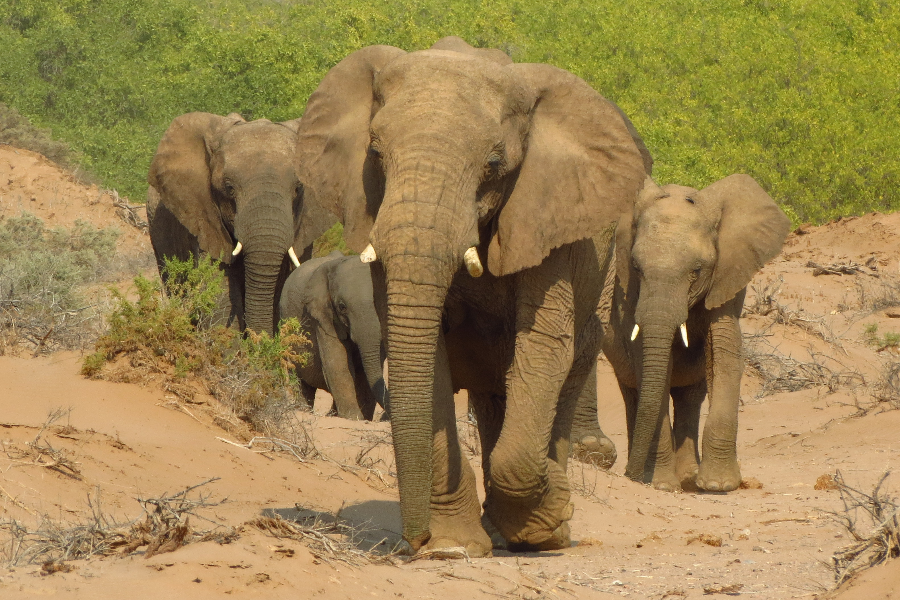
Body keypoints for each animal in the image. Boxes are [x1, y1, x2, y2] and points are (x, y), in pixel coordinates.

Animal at [280, 251, 388, 420]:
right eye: (342, 307)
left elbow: (363, 371)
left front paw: (360, 418)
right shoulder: (321, 316)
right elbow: (338, 362)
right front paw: (353, 418)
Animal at [298, 38, 652, 556]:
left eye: (495, 164)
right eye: (376, 153)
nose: (416, 540)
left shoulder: (546, 219)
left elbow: (542, 343)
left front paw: (547, 520)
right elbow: (430, 355)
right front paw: (455, 544)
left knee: (562, 376)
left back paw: (544, 522)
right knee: (492, 397)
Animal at [600, 175, 792, 492]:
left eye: (697, 270)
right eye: (637, 268)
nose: (629, 474)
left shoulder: (727, 277)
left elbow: (726, 353)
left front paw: (718, 484)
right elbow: (653, 368)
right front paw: (662, 485)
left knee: (689, 397)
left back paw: (688, 477)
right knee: (633, 391)